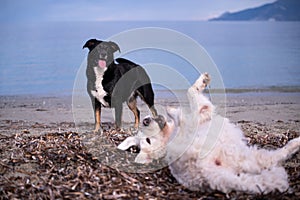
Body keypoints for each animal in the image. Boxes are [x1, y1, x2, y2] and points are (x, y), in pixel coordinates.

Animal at [118, 73, 300, 194]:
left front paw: (171, 110)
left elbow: (178, 108)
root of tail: (205, 172)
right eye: (148, 141)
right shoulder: (199, 115)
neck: (170, 135)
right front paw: (202, 82)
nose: (145, 121)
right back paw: (295, 143)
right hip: (242, 154)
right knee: (274, 158)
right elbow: (191, 93)